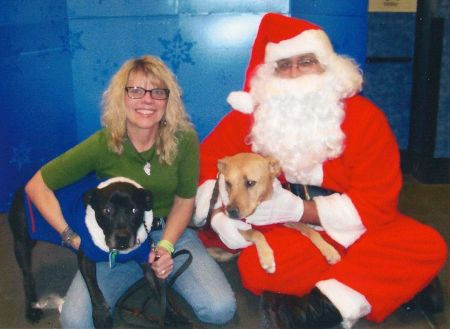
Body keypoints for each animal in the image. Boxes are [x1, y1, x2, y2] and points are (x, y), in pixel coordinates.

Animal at [7, 177, 153, 328]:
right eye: (107, 210)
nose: (122, 237)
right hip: (22, 243)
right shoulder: (86, 256)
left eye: (135, 210)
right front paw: (101, 315)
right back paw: (31, 309)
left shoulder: (146, 258)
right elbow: (94, 287)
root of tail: (23, 186)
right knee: (27, 277)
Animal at [211, 152, 342, 272]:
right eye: (227, 183)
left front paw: (328, 250)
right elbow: (256, 233)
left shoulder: (287, 219)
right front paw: (267, 258)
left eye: (250, 182)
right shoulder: (240, 228)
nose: (231, 212)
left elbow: (311, 231)